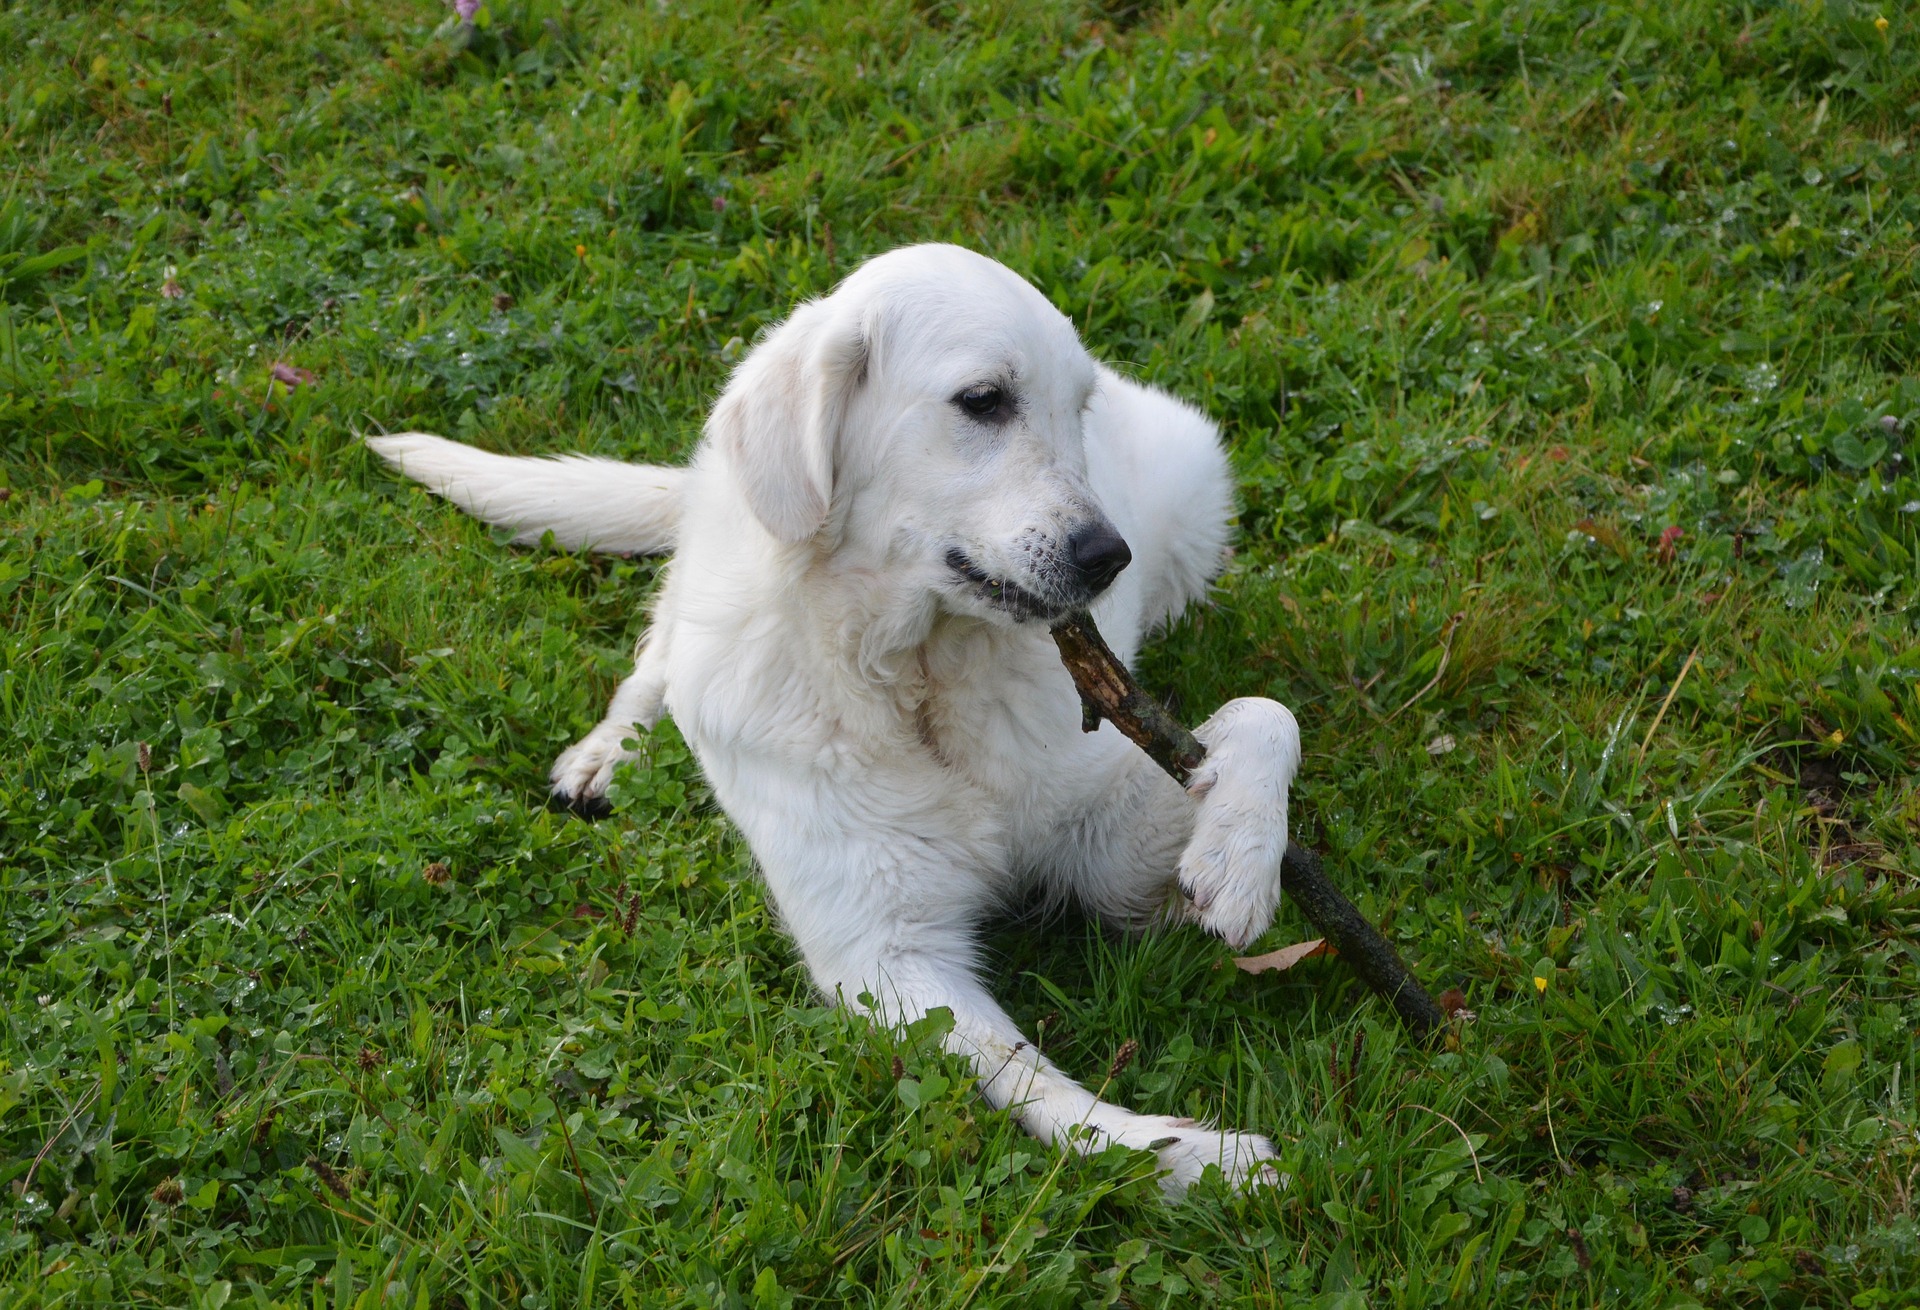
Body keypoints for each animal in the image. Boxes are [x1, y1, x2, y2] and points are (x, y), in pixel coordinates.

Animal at [366, 244, 1297, 1190]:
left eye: (1078, 412)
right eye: (983, 400)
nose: (1109, 558)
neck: (915, 682)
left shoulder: (1104, 860)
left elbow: (1266, 714)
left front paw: (1239, 859)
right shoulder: (884, 955)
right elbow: (1040, 1087)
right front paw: (1182, 1157)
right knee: (660, 645)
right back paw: (608, 752)